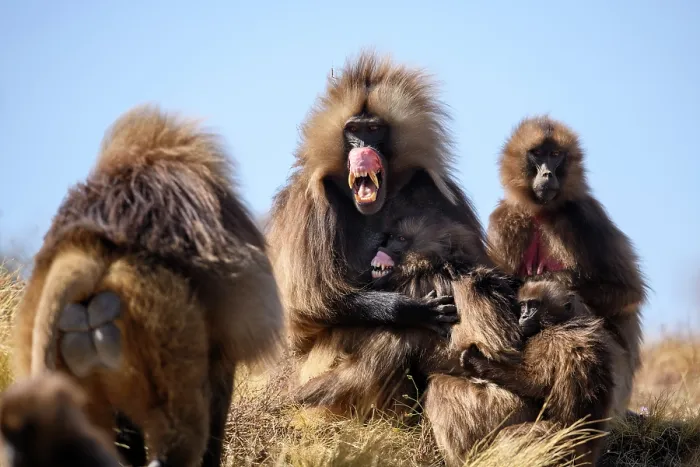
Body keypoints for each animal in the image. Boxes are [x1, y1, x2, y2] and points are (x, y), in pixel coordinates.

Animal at [267, 50, 524, 423]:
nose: (363, 149)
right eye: (353, 131)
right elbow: (310, 307)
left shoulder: (439, 192)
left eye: (374, 130)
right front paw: (409, 309)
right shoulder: (309, 205)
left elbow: (474, 272)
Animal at [481, 115, 648, 464]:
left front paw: (552, 280)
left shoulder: (584, 215)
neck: (542, 212)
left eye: (556, 155)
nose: (547, 174)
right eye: (537, 153)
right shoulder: (504, 220)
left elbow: (627, 291)